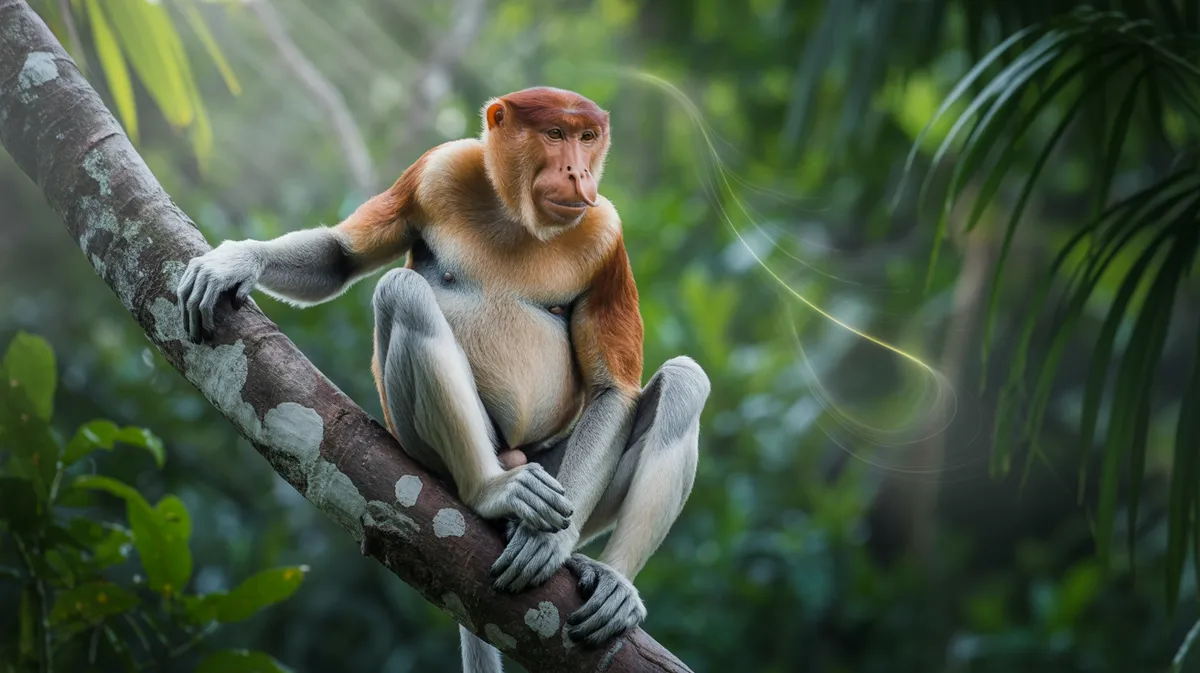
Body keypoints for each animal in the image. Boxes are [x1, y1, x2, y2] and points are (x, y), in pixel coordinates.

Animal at [176, 86, 710, 672]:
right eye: (555, 135)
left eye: (587, 137)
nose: (579, 173)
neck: (515, 215)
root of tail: (512, 459)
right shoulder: (437, 170)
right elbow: (341, 257)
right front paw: (235, 261)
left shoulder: (605, 235)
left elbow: (613, 389)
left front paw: (555, 543)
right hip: (429, 448)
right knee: (401, 291)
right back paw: (492, 494)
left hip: (557, 473)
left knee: (686, 383)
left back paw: (609, 579)